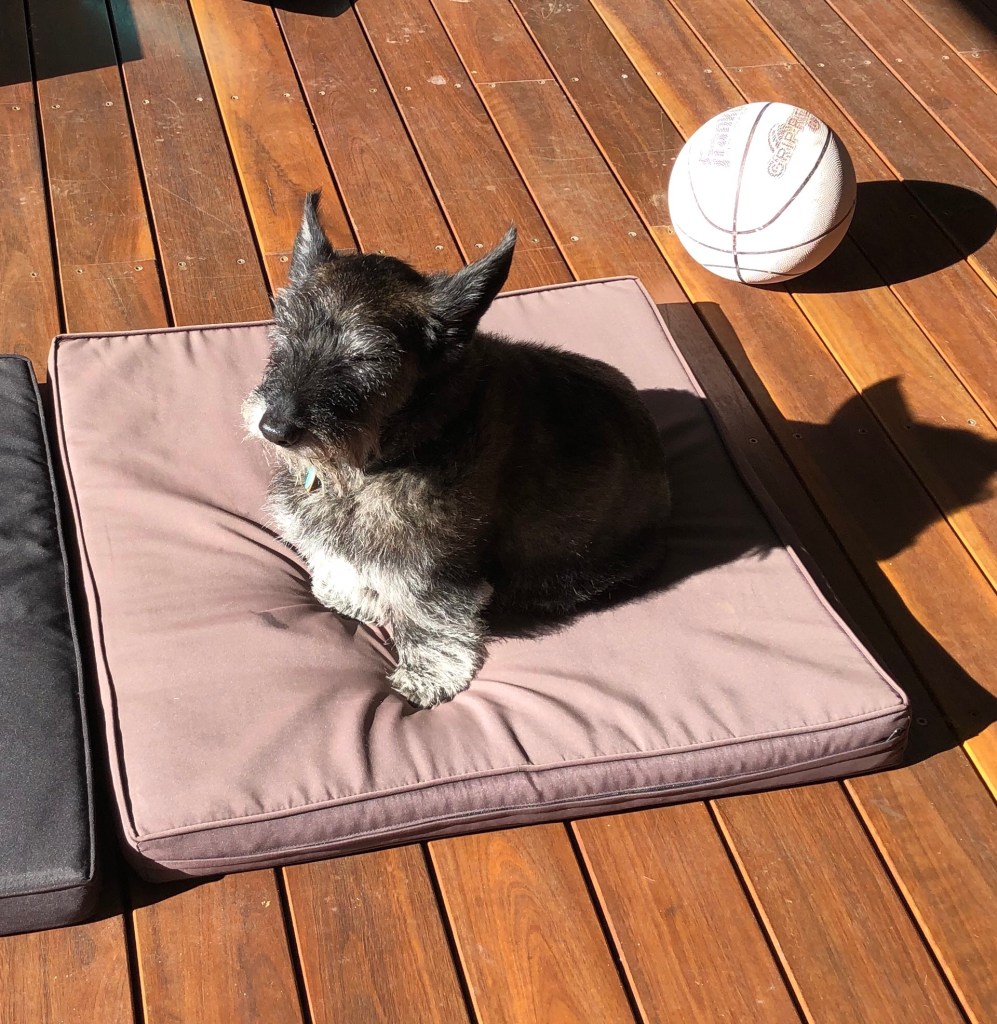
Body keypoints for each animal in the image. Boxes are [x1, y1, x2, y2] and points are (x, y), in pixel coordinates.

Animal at [244, 193, 671, 708]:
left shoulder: (430, 568)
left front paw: (427, 674)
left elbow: (425, 615)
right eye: (285, 330)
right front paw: (344, 590)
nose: (275, 427)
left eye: (366, 357)